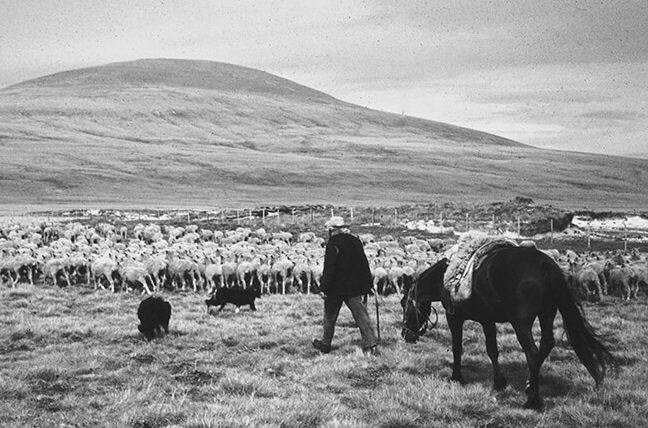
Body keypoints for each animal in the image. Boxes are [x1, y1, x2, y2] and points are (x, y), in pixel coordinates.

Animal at [402, 247, 616, 408]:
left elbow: (457, 348)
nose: (406, 335)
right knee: (546, 345)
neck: (445, 279)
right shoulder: (487, 321)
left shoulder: (455, 318)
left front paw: (456, 377)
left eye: (404, 303)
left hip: (521, 324)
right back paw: (529, 386)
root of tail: (545, 265)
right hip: (546, 314)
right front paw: (499, 382)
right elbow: (492, 351)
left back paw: (532, 400)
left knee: (532, 353)